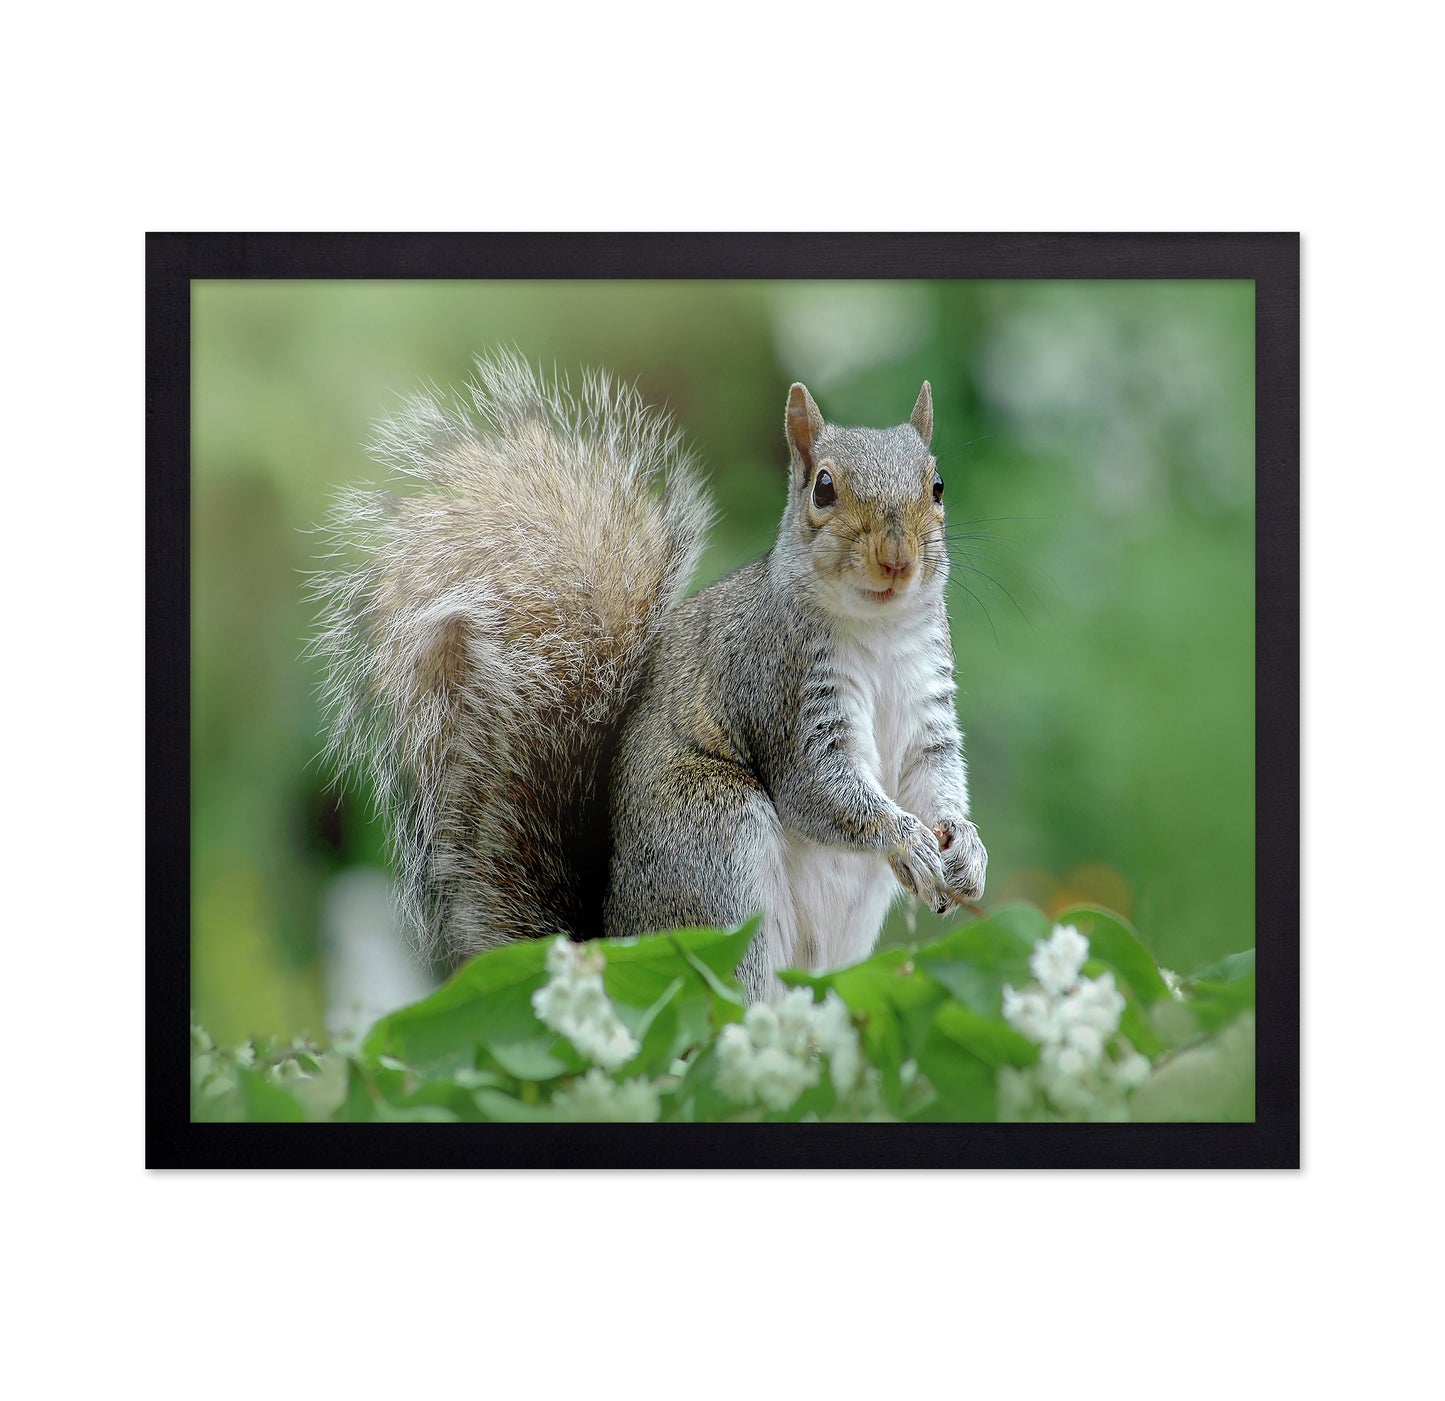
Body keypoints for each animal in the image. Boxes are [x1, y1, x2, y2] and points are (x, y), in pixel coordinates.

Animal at [311, 353, 987, 1003]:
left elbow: (933, 777)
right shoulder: (779, 688)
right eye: (823, 487)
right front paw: (909, 839)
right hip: (714, 847)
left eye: (937, 485)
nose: (896, 559)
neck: (878, 633)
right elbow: (820, 790)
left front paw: (966, 850)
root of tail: (612, 945)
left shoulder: (927, 706)